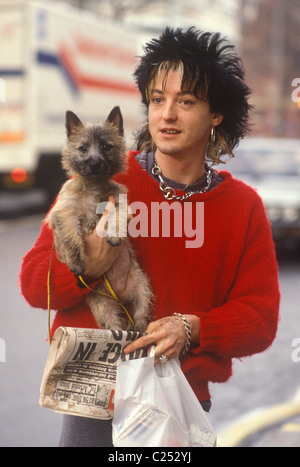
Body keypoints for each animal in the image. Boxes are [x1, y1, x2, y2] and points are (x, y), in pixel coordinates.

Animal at [48, 107, 154, 330]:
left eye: (106, 147)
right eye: (83, 148)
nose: (94, 163)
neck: (93, 186)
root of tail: (121, 297)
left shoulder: (120, 203)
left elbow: (116, 215)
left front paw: (114, 234)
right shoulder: (65, 214)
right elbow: (71, 239)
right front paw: (76, 262)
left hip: (142, 286)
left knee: (141, 311)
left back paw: (139, 327)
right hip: (102, 303)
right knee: (113, 323)